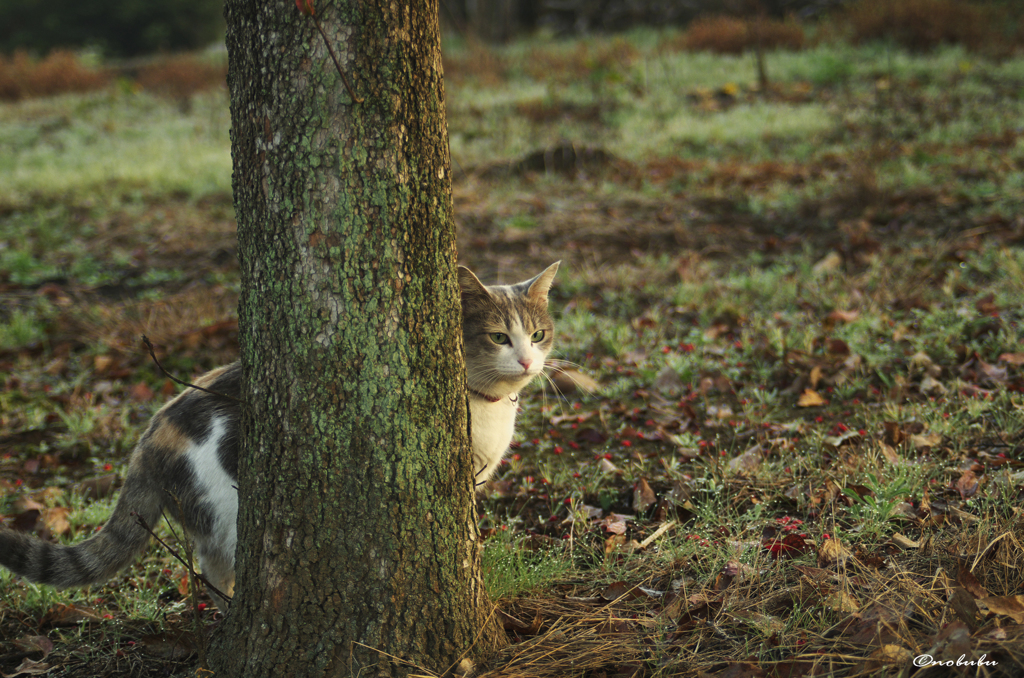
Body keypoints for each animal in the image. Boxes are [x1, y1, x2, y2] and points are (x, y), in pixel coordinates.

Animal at [0, 262, 561, 614]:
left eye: (537, 335)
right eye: (498, 337)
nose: (528, 362)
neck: (487, 407)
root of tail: (149, 437)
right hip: (230, 509)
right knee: (218, 571)